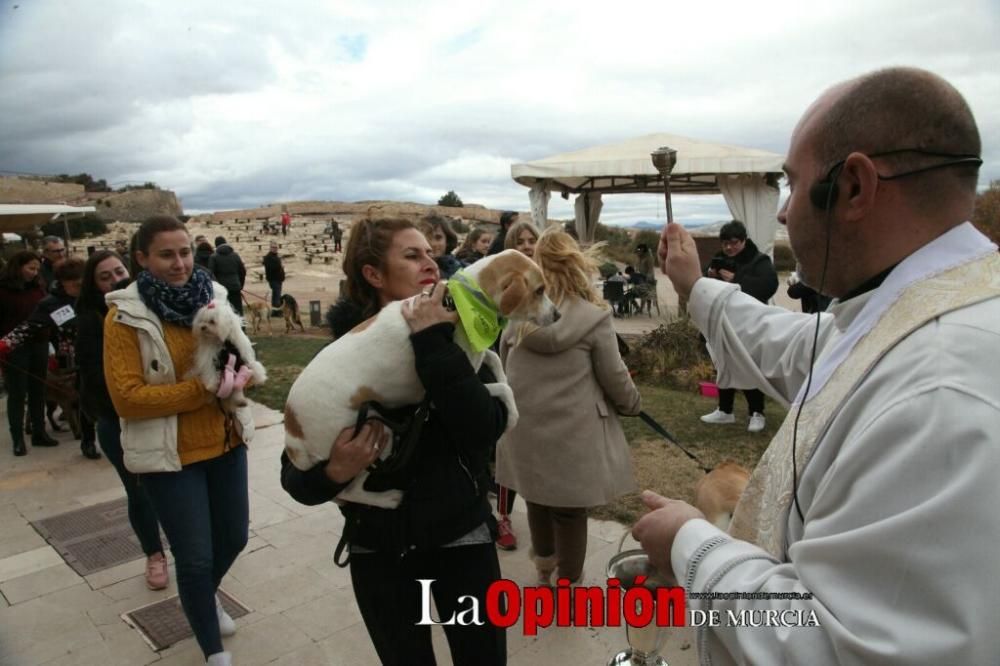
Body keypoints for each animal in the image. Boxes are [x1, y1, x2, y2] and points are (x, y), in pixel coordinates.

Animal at [286, 248, 560, 504]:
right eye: (539, 291)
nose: (558, 315)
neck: (461, 302)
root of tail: (292, 431)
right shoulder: (438, 399)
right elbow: (504, 389)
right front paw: (512, 415)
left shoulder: (472, 360)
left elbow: (493, 360)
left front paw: (503, 377)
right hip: (371, 436)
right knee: (351, 491)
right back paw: (388, 499)